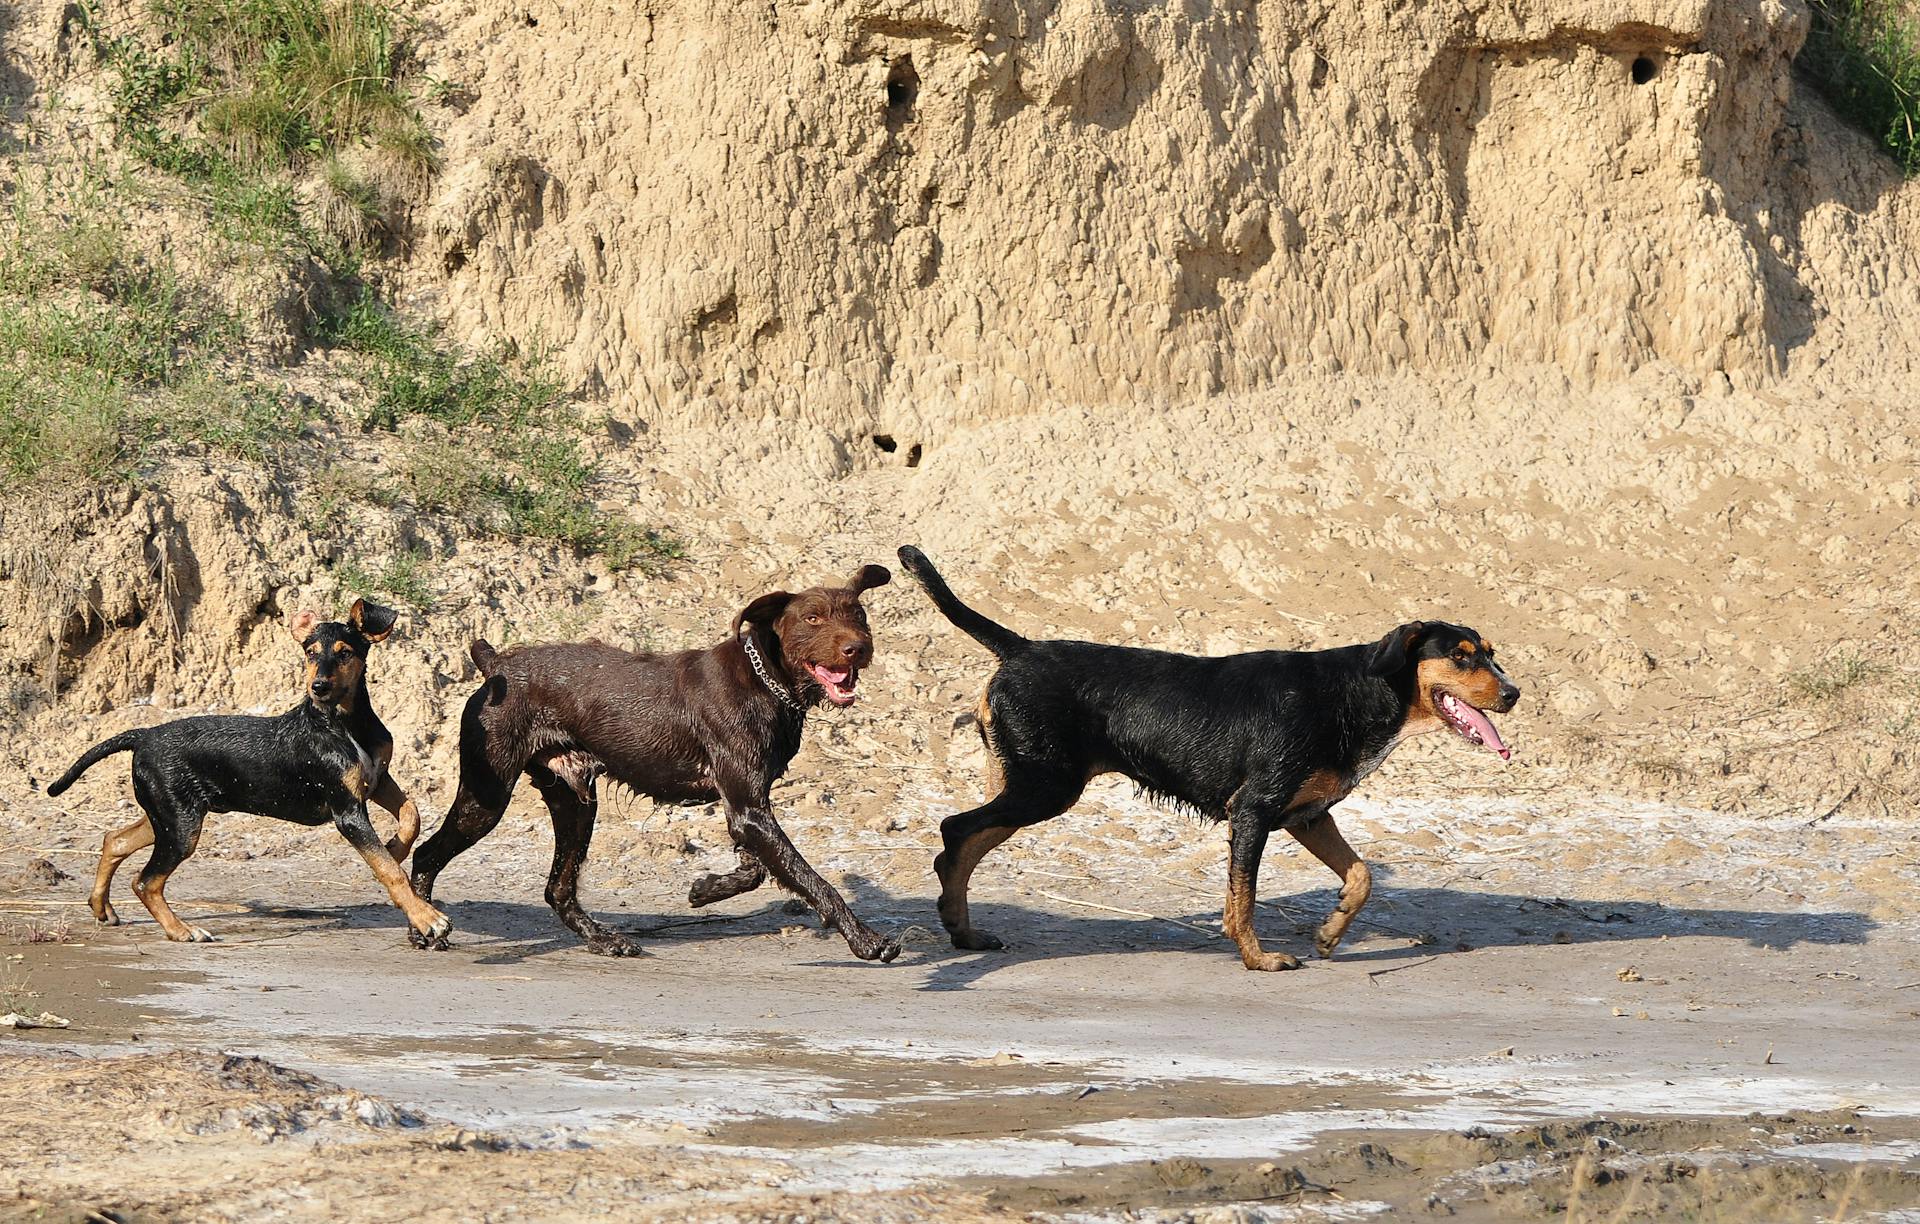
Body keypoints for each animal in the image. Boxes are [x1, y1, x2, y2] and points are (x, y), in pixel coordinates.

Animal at [46, 606, 443, 951]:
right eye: (310, 653)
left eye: (345, 653)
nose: (318, 687)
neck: (344, 722)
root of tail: (143, 736)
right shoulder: (346, 811)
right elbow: (389, 870)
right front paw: (427, 918)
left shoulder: (377, 781)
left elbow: (411, 814)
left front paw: (396, 846)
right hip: (181, 826)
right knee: (145, 881)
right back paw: (182, 931)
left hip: (169, 815)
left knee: (115, 840)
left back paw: (102, 906)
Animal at [407, 567, 898, 966]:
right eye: (812, 618)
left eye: (859, 615)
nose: (858, 648)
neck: (764, 680)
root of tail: (496, 664)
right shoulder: (749, 810)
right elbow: (814, 881)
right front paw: (866, 941)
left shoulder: (746, 808)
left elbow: (758, 868)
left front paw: (706, 889)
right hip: (487, 797)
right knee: (427, 853)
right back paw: (424, 928)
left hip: (575, 802)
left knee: (558, 888)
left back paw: (603, 939)